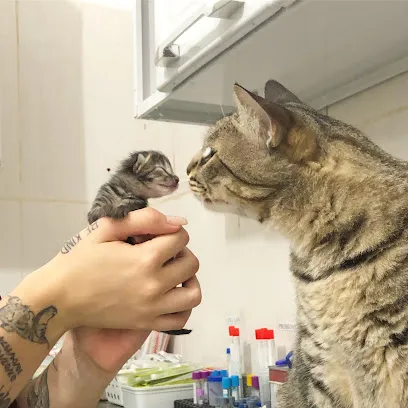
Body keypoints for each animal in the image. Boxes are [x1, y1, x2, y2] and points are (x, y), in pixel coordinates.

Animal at [88, 151, 193, 336]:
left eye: (171, 170)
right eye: (162, 169)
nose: (177, 178)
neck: (125, 191)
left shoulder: (139, 204)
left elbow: (131, 205)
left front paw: (122, 208)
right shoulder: (102, 196)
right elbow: (96, 212)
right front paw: (106, 211)